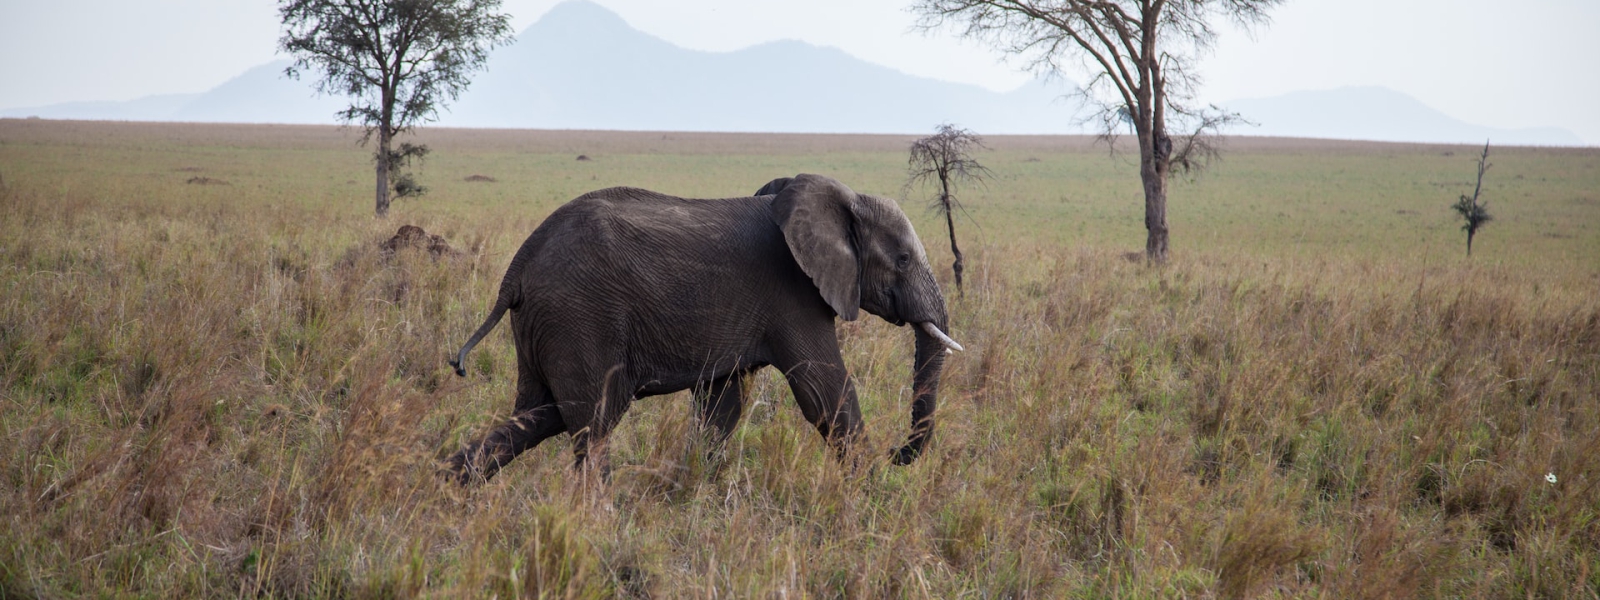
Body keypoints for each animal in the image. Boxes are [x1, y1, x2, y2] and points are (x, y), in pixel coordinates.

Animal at [444, 172, 953, 483]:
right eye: (903, 259)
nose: (897, 452)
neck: (842, 197)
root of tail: (519, 265)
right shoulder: (795, 296)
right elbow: (826, 391)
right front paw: (873, 492)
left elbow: (721, 406)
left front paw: (691, 490)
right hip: (580, 314)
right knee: (594, 421)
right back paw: (599, 519)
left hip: (544, 322)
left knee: (539, 412)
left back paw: (446, 483)